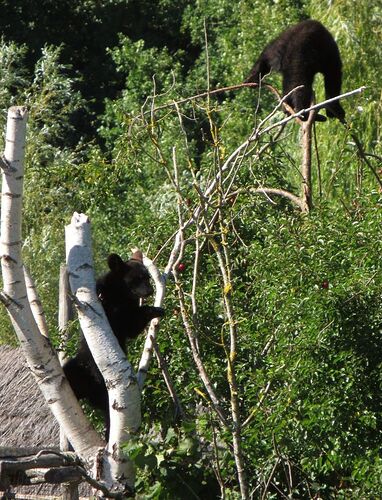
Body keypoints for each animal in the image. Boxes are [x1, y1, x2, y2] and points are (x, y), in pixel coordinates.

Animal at [63, 250, 164, 438]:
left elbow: (132, 326)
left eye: (148, 277)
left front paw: (156, 310)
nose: (150, 290)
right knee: (69, 374)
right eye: (137, 278)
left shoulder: (128, 313)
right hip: (81, 366)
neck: (122, 296)